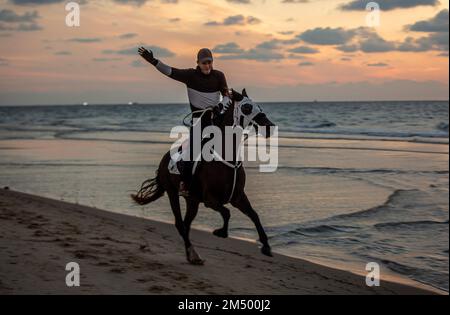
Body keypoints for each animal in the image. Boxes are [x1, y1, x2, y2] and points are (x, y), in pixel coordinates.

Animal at [132, 89, 276, 266]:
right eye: (247, 108)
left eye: (259, 107)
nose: (270, 127)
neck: (226, 156)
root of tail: (163, 161)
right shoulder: (210, 200)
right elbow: (227, 212)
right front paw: (221, 232)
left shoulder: (238, 197)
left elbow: (254, 215)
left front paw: (266, 246)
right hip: (172, 193)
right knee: (180, 224)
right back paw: (193, 254)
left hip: (192, 201)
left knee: (186, 224)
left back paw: (192, 255)